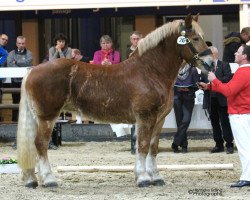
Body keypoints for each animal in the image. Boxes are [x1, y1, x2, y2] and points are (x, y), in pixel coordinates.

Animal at [17, 13, 213, 188]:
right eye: (195, 38)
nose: (210, 63)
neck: (149, 71)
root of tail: (32, 70)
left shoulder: (159, 120)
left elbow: (153, 147)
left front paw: (155, 177)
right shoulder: (145, 117)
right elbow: (142, 146)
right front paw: (143, 178)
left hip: (38, 117)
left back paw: (31, 180)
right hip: (47, 117)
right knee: (40, 144)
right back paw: (49, 179)